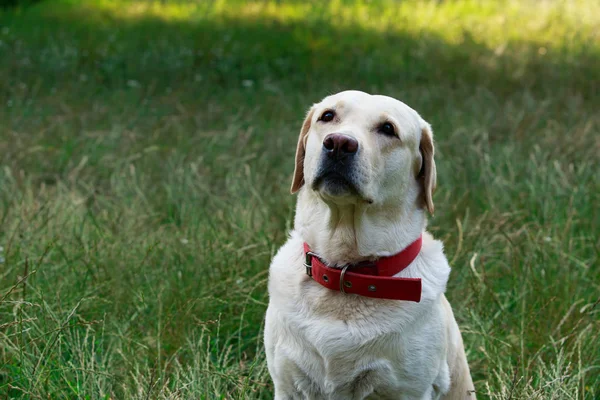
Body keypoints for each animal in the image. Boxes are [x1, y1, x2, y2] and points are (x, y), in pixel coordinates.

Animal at [264, 91, 476, 400]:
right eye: (327, 116)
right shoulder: (288, 385)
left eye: (388, 129)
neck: (347, 272)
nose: (339, 143)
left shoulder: (408, 390)